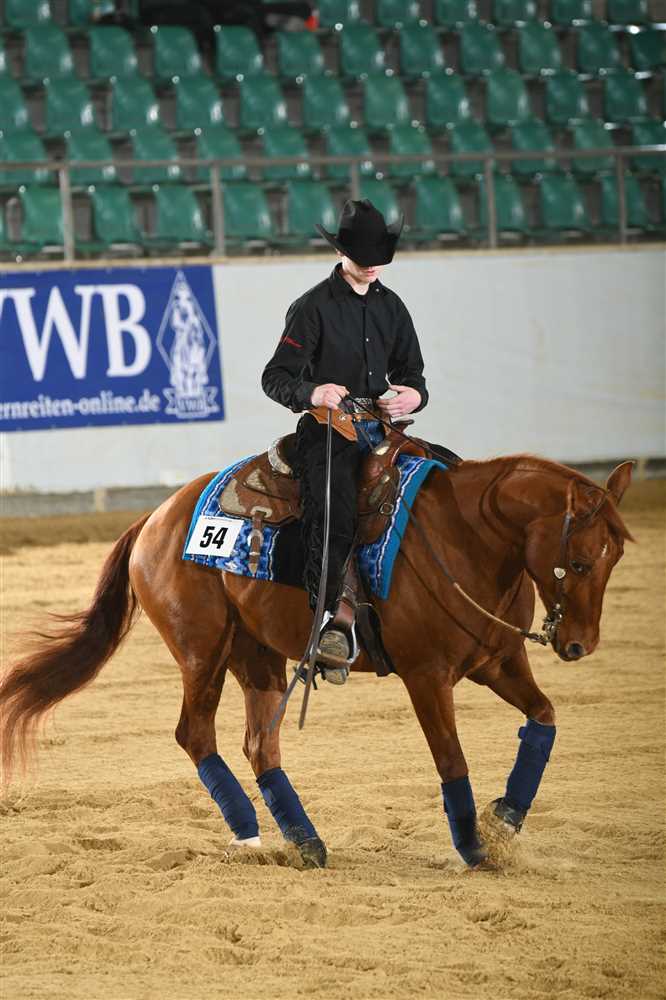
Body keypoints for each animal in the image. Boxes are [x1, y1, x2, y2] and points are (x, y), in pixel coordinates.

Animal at [0, 449, 634, 869]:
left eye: (614, 559)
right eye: (580, 562)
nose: (579, 644)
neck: (465, 536)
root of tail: (155, 518)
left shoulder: (498, 662)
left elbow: (544, 719)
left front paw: (504, 821)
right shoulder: (427, 677)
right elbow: (451, 759)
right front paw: (475, 848)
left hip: (257, 656)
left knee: (260, 745)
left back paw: (305, 841)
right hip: (202, 653)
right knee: (197, 735)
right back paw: (249, 836)